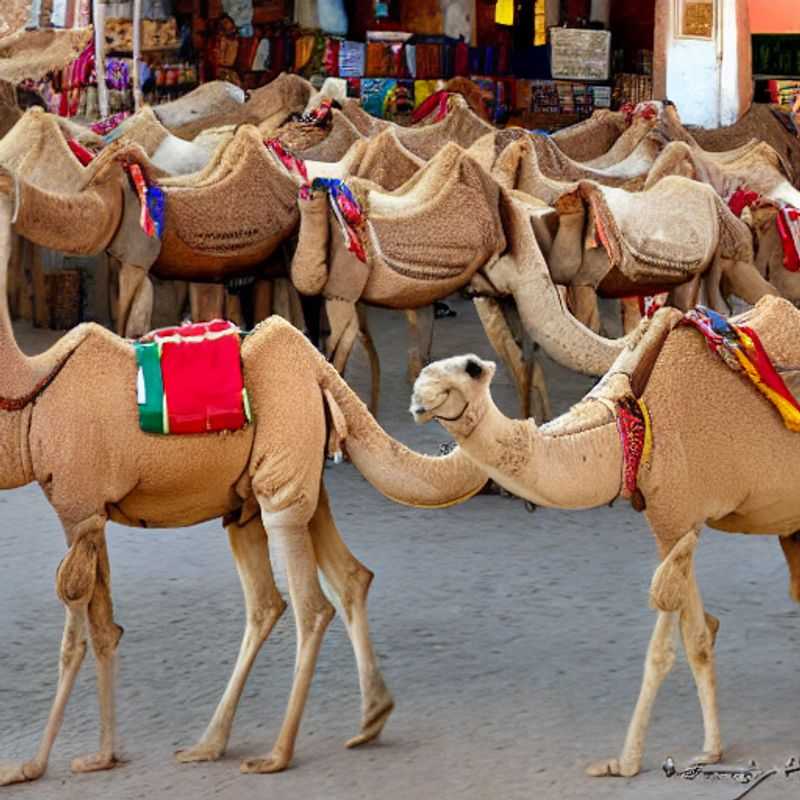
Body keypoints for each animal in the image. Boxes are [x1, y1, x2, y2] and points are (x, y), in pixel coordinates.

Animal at [0, 192, 488, 786]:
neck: (31, 393)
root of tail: (319, 370)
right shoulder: (92, 514)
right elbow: (105, 627)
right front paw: (102, 755)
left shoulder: (76, 508)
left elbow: (74, 635)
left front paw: (29, 765)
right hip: (275, 491)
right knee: (327, 585)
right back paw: (335, 725)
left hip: (282, 487)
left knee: (309, 606)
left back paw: (276, 753)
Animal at [411, 295, 800, 778]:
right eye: (426, 375)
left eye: (468, 369)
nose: (419, 399)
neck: (628, 425)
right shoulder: (673, 523)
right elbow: (697, 635)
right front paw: (711, 749)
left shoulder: (677, 515)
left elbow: (668, 644)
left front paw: (627, 762)